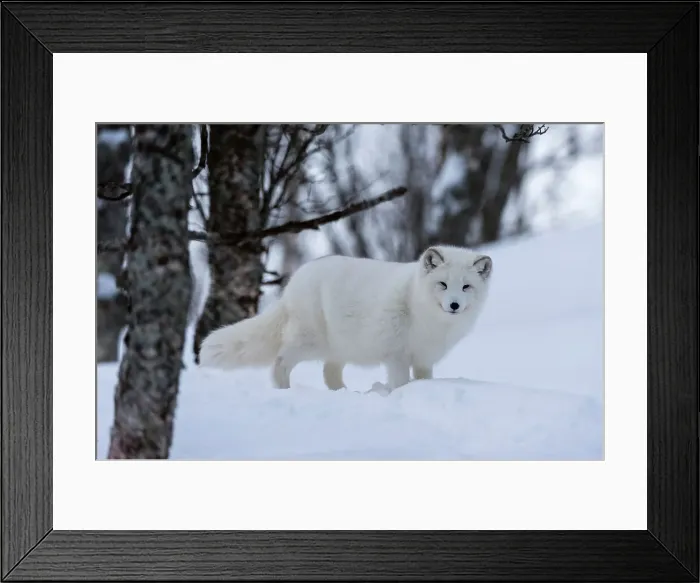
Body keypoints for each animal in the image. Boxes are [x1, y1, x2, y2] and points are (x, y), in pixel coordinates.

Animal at [198, 245, 493, 391]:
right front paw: (399, 396)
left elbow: (423, 381)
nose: (454, 305)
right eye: (442, 284)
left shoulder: (424, 359)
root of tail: (293, 283)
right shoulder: (396, 356)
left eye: (466, 287)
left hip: (339, 348)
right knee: (280, 362)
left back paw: (343, 393)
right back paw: (285, 390)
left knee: (329, 373)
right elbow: (399, 383)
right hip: (309, 342)